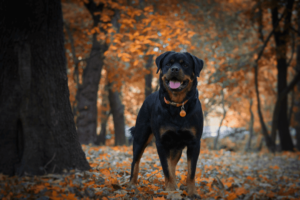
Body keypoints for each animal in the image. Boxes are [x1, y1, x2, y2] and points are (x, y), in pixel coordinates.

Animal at [129, 51, 204, 197]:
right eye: (168, 64)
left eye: (185, 65)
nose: (174, 69)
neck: (177, 105)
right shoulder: (161, 143)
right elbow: (166, 170)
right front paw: (170, 192)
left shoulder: (194, 142)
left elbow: (190, 172)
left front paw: (191, 193)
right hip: (141, 136)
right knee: (135, 161)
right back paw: (132, 185)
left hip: (176, 147)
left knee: (173, 164)